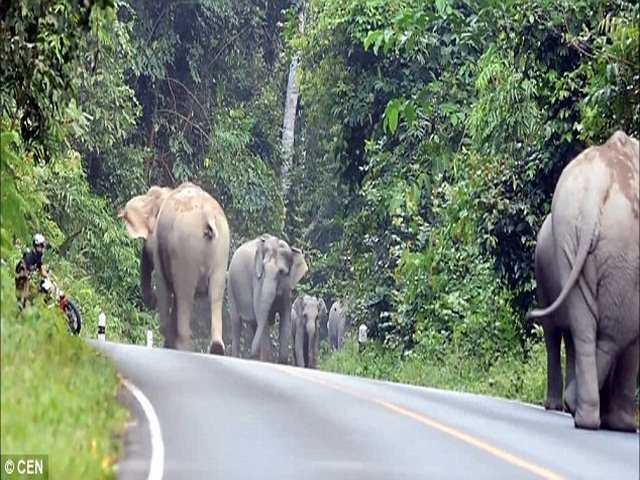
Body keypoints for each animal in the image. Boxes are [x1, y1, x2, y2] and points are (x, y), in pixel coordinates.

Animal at [120, 180, 230, 352]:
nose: (152, 301)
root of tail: (207, 215)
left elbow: (163, 284)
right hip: (221, 251)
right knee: (215, 294)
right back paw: (216, 349)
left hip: (186, 248)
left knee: (184, 295)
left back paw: (183, 346)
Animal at [228, 233, 308, 364]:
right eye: (263, 269)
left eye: (281, 272)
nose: (251, 353)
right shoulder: (257, 281)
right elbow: (261, 317)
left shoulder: (287, 289)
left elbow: (285, 317)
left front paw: (282, 363)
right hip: (230, 287)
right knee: (236, 324)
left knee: (251, 325)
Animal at [528, 131, 636, 432]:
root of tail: (599, 181)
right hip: (620, 247)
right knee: (610, 334)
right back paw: (614, 422)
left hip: (568, 238)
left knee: (582, 329)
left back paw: (580, 412)